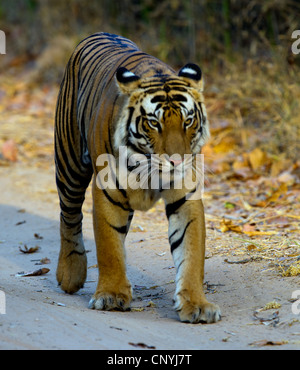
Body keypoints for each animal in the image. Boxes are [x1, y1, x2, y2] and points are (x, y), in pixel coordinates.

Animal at [55, 32, 221, 324]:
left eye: (188, 121)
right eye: (154, 123)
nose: (177, 162)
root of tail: (99, 33)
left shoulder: (185, 197)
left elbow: (190, 253)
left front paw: (196, 304)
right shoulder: (108, 192)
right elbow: (109, 246)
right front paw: (110, 296)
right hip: (69, 163)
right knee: (69, 215)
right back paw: (70, 273)